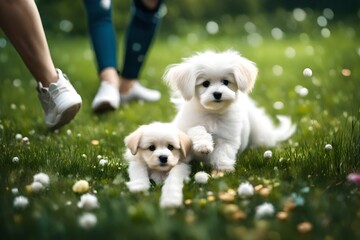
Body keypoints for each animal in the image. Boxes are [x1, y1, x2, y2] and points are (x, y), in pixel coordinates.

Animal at [165, 49, 296, 172]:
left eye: (225, 82)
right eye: (205, 83)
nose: (217, 93)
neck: (213, 113)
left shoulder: (227, 137)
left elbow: (223, 152)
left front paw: (224, 168)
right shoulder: (185, 127)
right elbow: (196, 129)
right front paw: (203, 144)